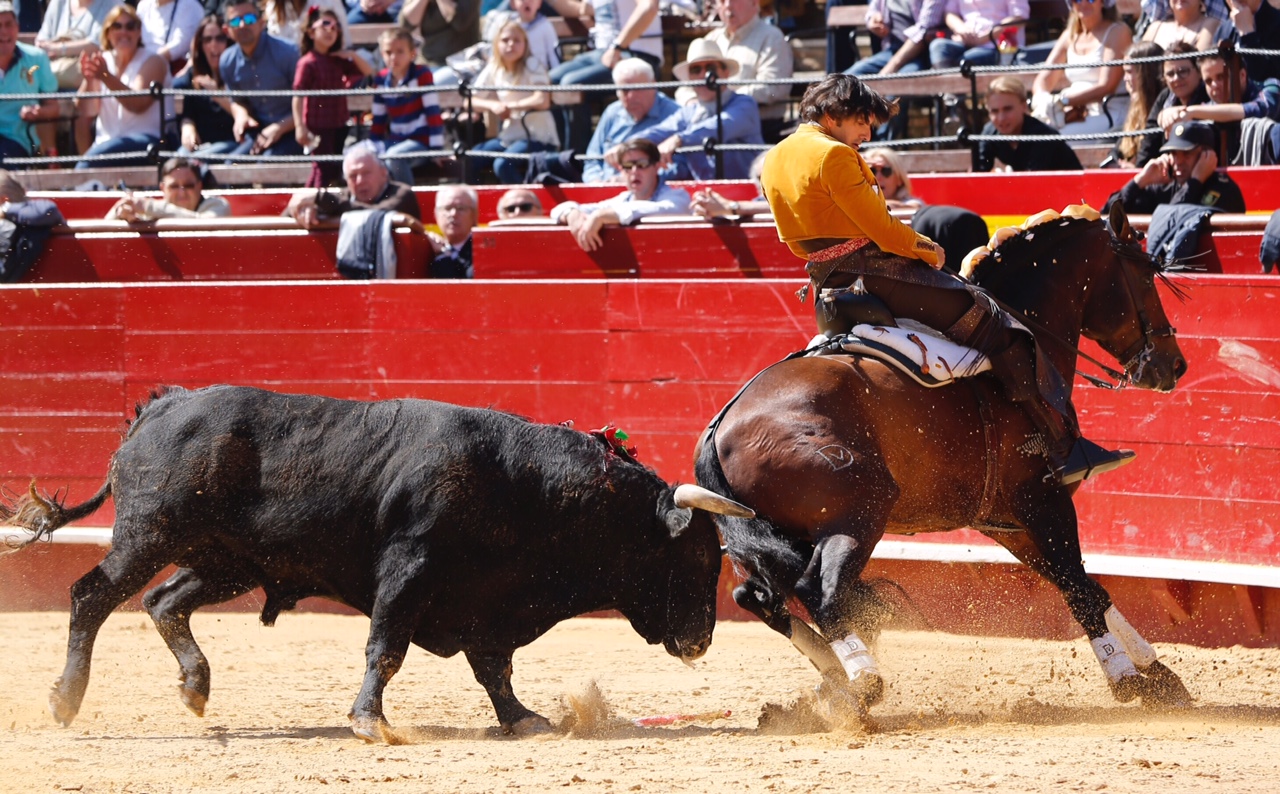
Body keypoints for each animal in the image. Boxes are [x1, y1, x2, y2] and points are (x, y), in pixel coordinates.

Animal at [5, 386, 752, 742]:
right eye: (695, 556)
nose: (702, 640)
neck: (526, 487)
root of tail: (163, 405)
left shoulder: (487, 601)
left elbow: (494, 669)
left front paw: (522, 718)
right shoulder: (409, 569)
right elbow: (385, 647)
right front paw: (370, 721)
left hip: (229, 561)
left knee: (164, 602)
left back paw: (195, 687)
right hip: (148, 536)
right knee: (91, 595)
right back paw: (65, 699)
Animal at [696, 203, 1192, 717]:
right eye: (1144, 274)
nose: (1173, 364)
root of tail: (720, 429)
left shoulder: (1004, 521)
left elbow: (1087, 585)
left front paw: (1159, 676)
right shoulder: (1041, 500)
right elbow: (1078, 586)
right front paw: (1127, 678)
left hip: (774, 536)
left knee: (759, 596)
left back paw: (833, 684)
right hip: (860, 512)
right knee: (819, 592)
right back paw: (862, 686)